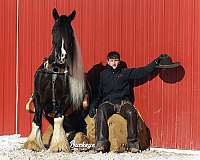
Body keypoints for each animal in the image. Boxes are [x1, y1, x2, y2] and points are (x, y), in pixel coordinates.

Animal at [23, 8, 86, 152]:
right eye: (54, 30)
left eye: (70, 31)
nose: (61, 56)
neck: (55, 70)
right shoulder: (38, 97)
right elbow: (37, 119)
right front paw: (33, 144)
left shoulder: (65, 100)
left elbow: (59, 118)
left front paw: (59, 145)